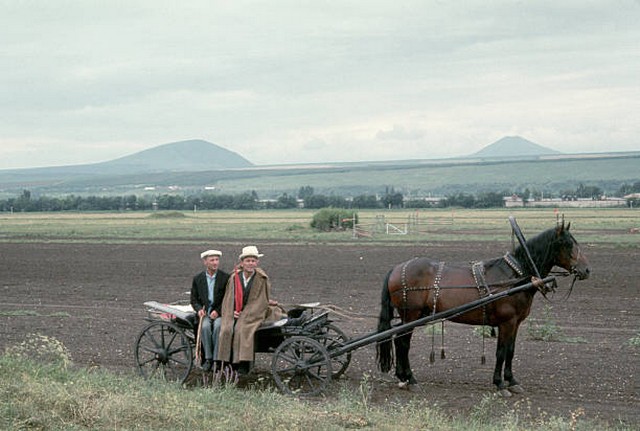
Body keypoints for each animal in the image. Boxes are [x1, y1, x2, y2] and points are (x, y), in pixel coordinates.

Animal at [376, 221, 592, 396]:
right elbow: (501, 352)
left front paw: (512, 381)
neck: (516, 276)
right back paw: (410, 379)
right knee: (403, 343)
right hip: (410, 315)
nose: (586, 270)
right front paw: (500, 384)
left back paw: (403, 378)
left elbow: (511, 350)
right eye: (567, 244)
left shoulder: (516, 323)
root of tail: (397, 268)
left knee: (398, 341)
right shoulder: (507, 322)